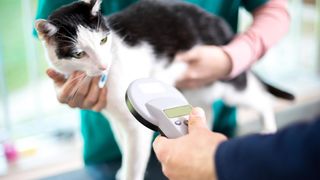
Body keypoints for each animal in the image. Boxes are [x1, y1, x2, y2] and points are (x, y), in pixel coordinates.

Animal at [35, 0, 296, 179]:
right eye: (79, 54)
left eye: (102, 41)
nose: (103, 64)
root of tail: (219, 24)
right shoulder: (117, 118)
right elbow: (124, 146)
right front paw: (122, 170)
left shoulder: (135, 127)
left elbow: (134, 158)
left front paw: (129, 174)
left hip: (229, 84)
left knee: (261, 99)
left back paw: (268, 130)